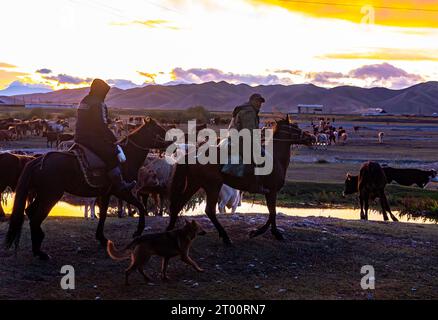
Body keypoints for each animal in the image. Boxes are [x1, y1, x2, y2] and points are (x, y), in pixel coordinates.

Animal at [5, 118, 173, 260]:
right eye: (159, 129)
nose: (173, 142)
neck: (127, 158)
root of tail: (38, 161)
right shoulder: (122, 190)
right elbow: (140, 207)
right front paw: (137, 231)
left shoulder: (106, 193)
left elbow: (103, 214)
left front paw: (102, 238)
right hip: (50, 195)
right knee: (36, 217)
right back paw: (39, 251)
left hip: (43, 194)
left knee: (30, 212)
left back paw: (37, 246)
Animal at [166, 117, 314, 245]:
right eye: (296, 127)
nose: (312, 137)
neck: (275, 158)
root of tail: (193, 154)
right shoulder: (271, 191)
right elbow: (273, 212)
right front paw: (264, 233)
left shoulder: (269, 192)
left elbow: (272, 213)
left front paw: (265, 232)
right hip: (213, 186)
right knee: (209, 210)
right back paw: (226, 238)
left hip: (194, 184)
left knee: (178, 205)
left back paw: (170, 232)